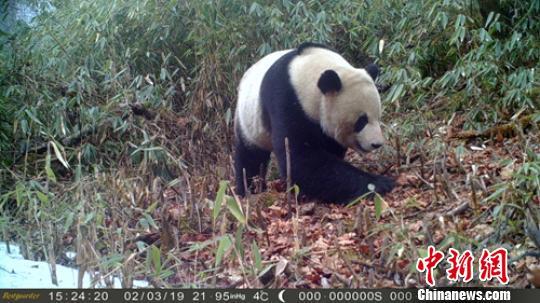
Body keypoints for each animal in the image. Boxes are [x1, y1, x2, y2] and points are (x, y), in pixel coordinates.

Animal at [234, 42, 394, 204]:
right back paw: (249, 190)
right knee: (250, 156)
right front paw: (379, 183)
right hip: (248, 120)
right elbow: (299, 158)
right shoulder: (285, 99)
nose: (376, 144)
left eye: (378, 117)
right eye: (361, 121)